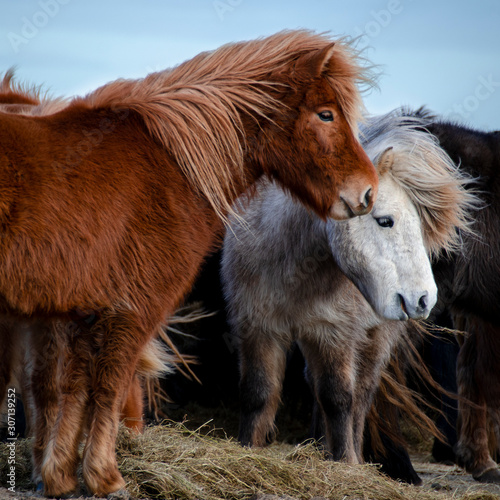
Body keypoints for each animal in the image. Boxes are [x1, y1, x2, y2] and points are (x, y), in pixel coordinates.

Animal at [0, 31, 376, 496]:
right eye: (326, 114)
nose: (367, 193)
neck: (169, 170)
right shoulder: (131, 310)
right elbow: (108, 385)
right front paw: (105, 477)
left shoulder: (74, 313)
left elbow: (69, 388)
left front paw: (60, 476)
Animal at [222, 111, 476, 462]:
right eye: (385, 220)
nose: (424, 298)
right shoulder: (257, 327)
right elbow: (257, 394)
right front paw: (248, 449)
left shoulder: (335, 332)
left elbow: (339, 399)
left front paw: (346, 462)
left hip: (374, 338)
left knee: (362, 394)